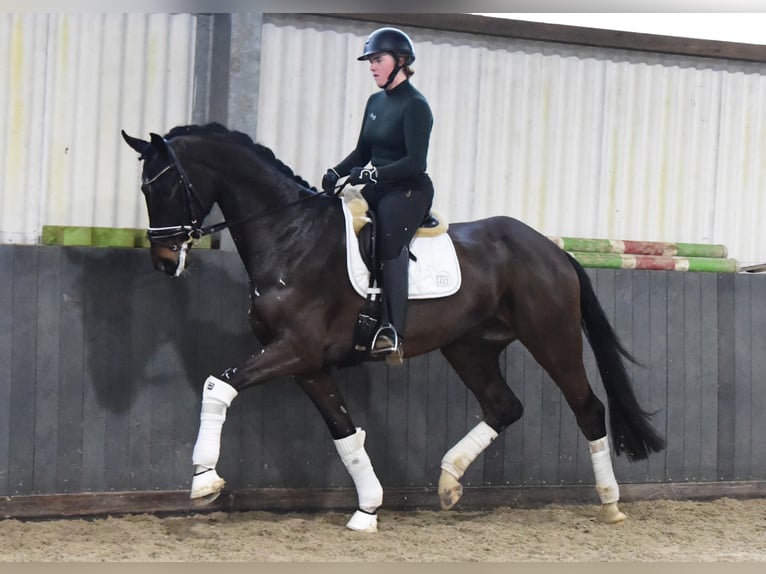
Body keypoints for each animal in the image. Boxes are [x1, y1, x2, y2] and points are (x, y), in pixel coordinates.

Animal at [121, 122, 664, 536]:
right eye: (144, 189)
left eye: (164, 186)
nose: (163, 261)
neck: (291, 236)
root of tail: (551, 250)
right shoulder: (309, 364)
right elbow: (344, 433)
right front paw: (368, 509)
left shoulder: (294, 350)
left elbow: (219, 384)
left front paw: (203, 479)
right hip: (469, 348)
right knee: (504, 406)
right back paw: (448, 482)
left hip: (552, 338)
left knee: (588, 409)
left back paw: (610, 504)